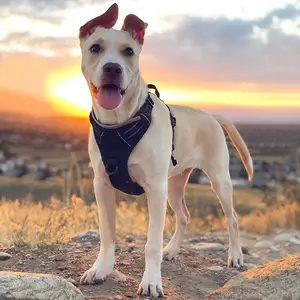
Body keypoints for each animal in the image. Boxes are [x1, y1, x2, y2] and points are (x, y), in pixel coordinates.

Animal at [78, 2, 253, 298]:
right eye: (95, 48)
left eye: (128, 51)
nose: (112, 68)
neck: (121, 122)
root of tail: (212, 115)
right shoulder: (102, 184)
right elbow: (107, 233)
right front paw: (100, 269)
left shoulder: (155, 190)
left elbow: (150, 244)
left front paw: (151, 282)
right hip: (174, 184)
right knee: (184, 216)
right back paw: (171, 250)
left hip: (218, 180)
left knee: (233, 218)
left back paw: (236, 255)